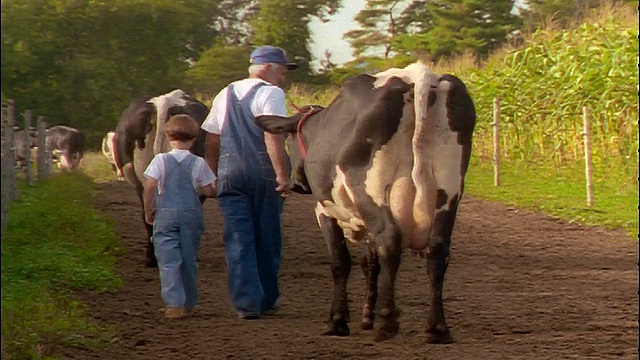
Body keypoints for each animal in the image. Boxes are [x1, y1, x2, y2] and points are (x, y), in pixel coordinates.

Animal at [255, 61, 476, 344]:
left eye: (289, 142)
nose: (296, 185)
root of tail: (415, 75)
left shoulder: (325, 210)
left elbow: (340, 262)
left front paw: (338, 320)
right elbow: (370, 261)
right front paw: (366, 315)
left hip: (370, 191)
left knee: (390, 241)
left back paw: (388, 321)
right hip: (449, 192)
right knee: (437, 250)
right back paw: (436, 328)